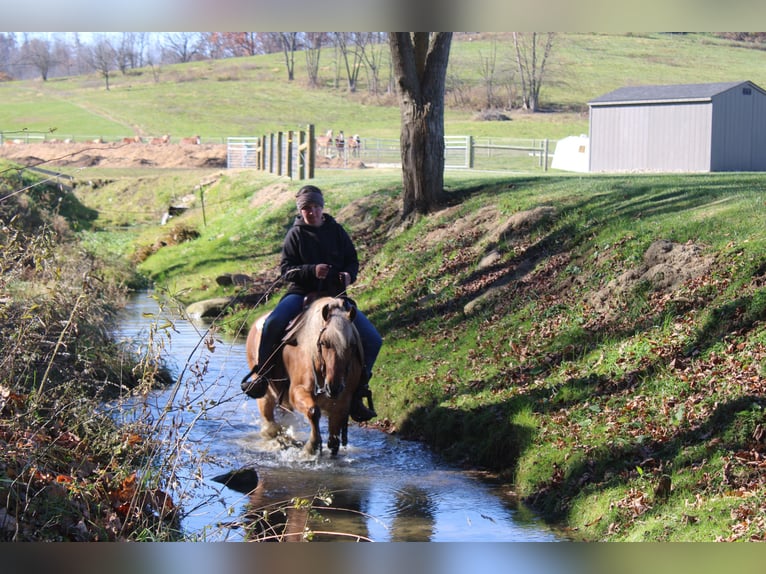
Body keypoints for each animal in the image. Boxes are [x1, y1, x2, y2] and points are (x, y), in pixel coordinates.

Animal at [243, 296, 364, 456]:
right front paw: (312, 446)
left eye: (352, 344)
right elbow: (313, 411)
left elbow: (334, 443)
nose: (334, 387)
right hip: (265, 394)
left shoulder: (343, 403)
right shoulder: (297, 392)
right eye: (324, 343)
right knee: (270, 421)